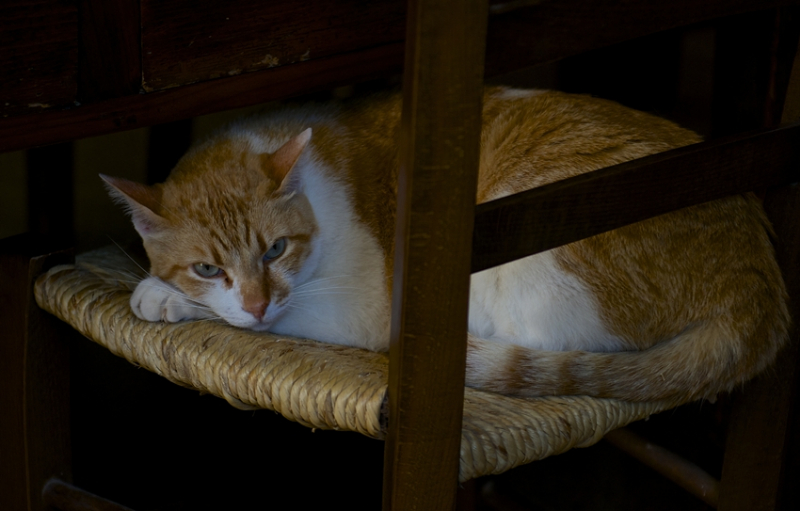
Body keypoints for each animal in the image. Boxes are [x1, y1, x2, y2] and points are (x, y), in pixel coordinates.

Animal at [101, 88, 788, 408]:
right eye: (207, 266)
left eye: (274, 251)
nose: (258, 303)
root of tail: (759, 278)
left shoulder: (364, 308)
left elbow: (273, 317)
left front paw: (161, 296)